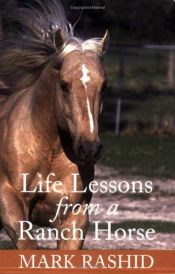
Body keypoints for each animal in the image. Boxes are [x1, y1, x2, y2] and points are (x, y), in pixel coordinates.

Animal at [0, 0, 108, 249]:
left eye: (104, 85)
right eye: (64, 85)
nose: (89, 148)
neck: (47, 150)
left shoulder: (74, 217)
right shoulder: (9, 205)